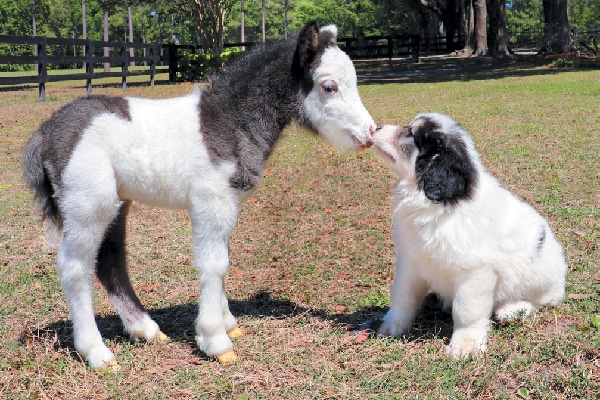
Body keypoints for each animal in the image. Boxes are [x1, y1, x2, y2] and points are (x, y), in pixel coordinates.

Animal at [23, 19, 376, 368]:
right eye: (328, 86)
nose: (370, 133)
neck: (230, 121)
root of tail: (44, 132)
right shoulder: (211, 202)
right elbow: (213, 264)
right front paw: (216, 341)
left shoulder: (226, 204)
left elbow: (224, 260)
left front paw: (229, 325)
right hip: (87, 205)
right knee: (75, 267)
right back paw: (97, 353)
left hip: (116, 202)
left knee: (110, 259)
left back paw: (145, 330)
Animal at [370, 112, 568, 356]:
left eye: (410, 134)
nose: (376, 127)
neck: (439, 205)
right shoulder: (410, 261)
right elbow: (402, 296)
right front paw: (391, 326)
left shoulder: (475, 273)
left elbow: (466, 310)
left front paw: (465, 345)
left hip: (538, 277)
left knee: (542, 300)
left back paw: (513, 308)